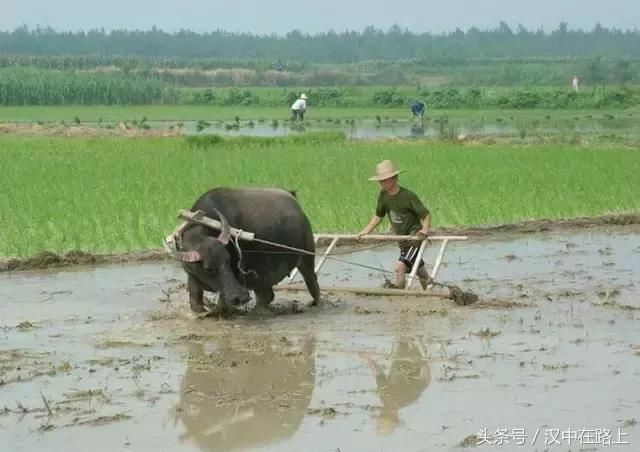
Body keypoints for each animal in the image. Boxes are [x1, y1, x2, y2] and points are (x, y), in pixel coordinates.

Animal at [168, 187, 322, 314]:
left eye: (228, 260)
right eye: (208, 269)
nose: (241, 297)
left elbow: (222, 302)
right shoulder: (193, 276)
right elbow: (195, 301)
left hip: (307, 256)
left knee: (312, 281)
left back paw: (314, 302)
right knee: (266, 295)